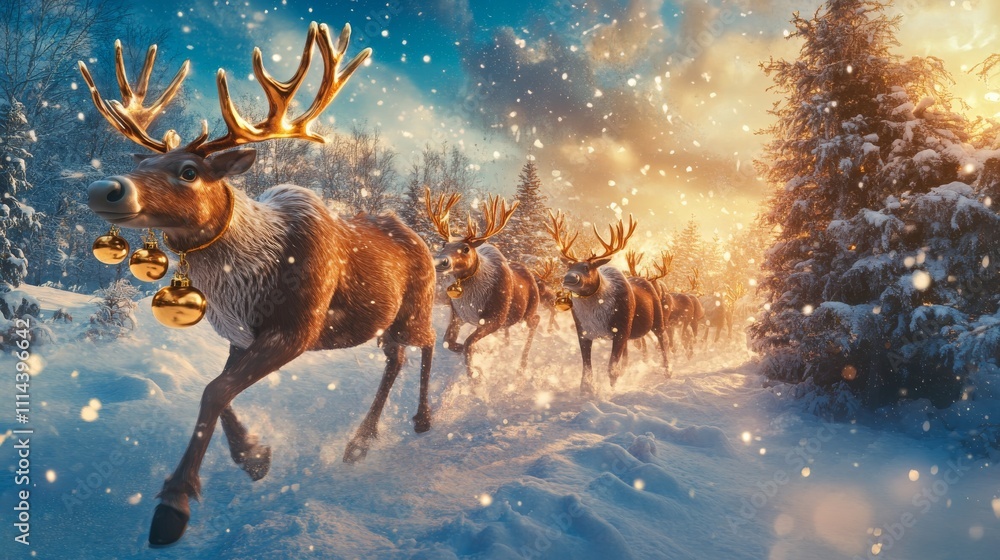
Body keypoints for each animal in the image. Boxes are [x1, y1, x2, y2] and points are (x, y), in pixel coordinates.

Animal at [79, 23, 438, 546]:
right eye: (143, 164)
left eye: (189, 171)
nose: (104, 188)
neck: (245, 282)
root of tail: (421, 238)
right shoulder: (238, 335)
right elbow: (219, 389)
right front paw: (254, 457)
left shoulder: (299, 327)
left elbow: (214, 391)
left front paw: (174, 504)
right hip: (385, 322)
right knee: (396, 358)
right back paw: (359, 442)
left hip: (416, 305)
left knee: (427, 342)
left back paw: (422, 419)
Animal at [425, 189, 540, 378]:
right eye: (443, 244)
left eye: (466, 248)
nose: (441, 261)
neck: (469, 300)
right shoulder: (457, 314)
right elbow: (448, 342)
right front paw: (481, 355)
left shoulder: (495, 318)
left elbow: (468, 344)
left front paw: (475, 375)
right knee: (508, 335)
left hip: (528, 311)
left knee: (536, 320)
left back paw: (522, 365)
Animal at [546, 211, 668, 394]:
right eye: (569, 267)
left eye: (587, 268)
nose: (569, 278)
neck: (595, 316)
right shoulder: (583, 332)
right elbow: (586, 368)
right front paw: (587, 391)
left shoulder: (620, 330)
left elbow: (611, 368)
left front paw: (610, 390)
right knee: (627, 355)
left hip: (657, 321)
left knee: (663, 341)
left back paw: (668, 371)